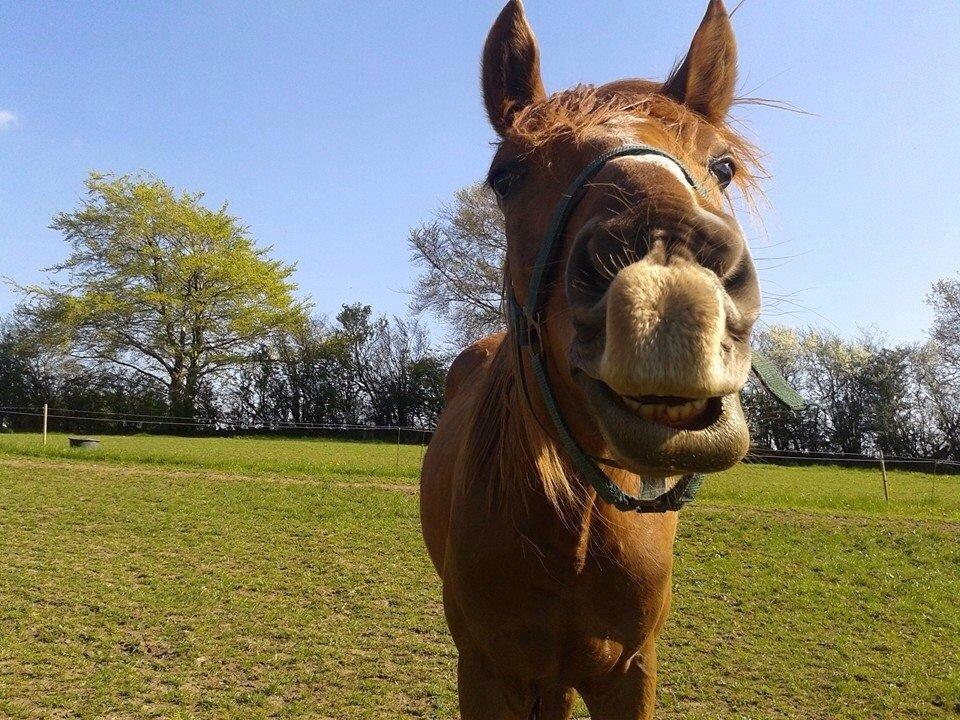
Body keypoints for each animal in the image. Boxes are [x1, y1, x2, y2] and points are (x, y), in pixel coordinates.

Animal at [420, 2, 764, 716]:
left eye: (722, 167)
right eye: (506, 175)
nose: (667, 286)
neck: (574, 525)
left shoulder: (628, 670)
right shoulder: (488, 671)